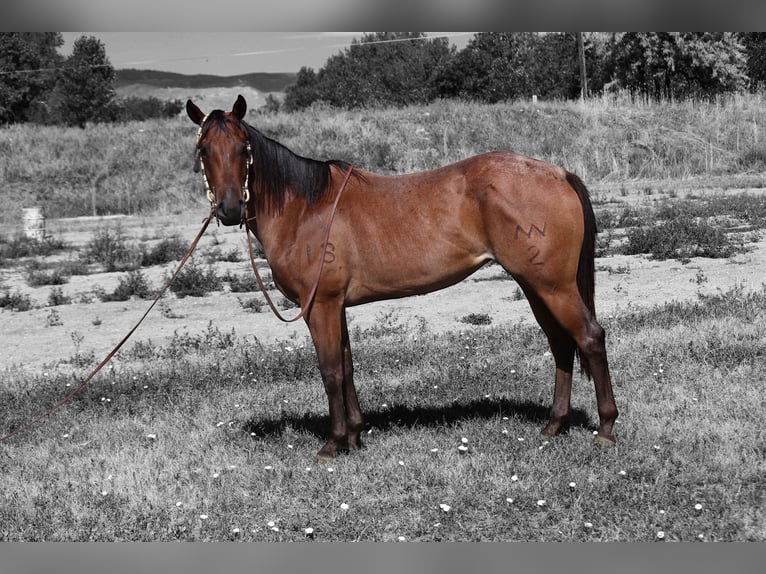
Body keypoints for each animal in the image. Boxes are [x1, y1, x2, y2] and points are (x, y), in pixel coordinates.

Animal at [186, 95, 618, 461]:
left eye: (244, 148)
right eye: (203, 150)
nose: (228, 209)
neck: (306, 209)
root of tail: (558, 174)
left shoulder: (319, 306)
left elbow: (330, 370)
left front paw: (333, 444)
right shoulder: (336, 306)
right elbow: (347, 366)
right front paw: (355, 436)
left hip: (553, 286)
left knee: (589, 338)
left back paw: (606, 428)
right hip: (535, 286)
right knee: (561, 344)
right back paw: (554, 425)